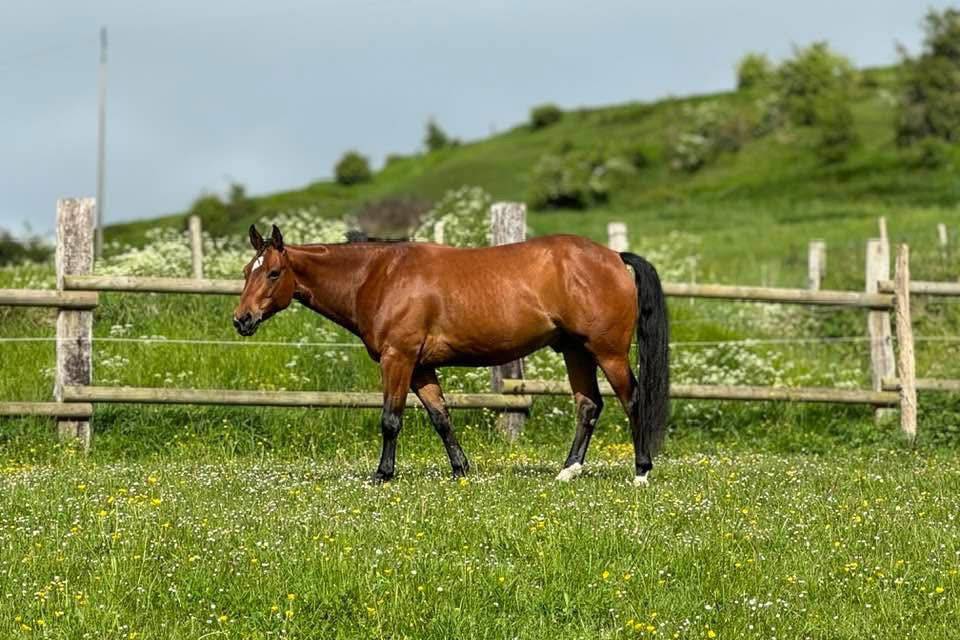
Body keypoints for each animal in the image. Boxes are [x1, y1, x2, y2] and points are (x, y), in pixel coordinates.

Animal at [233, 224, 669, 485]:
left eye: (273, 273)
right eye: (245, 271)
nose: (242, 319)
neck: (378, 276)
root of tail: (613, 256)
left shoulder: (399, 359)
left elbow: (390, 419)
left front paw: (382, 474)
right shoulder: (422, 368)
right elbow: (441, 417)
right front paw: (461, 469)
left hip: (607, 352)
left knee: (632, 400)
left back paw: (641, 472)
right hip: (575, 351)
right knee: (588, 404)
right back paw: (567, 471)